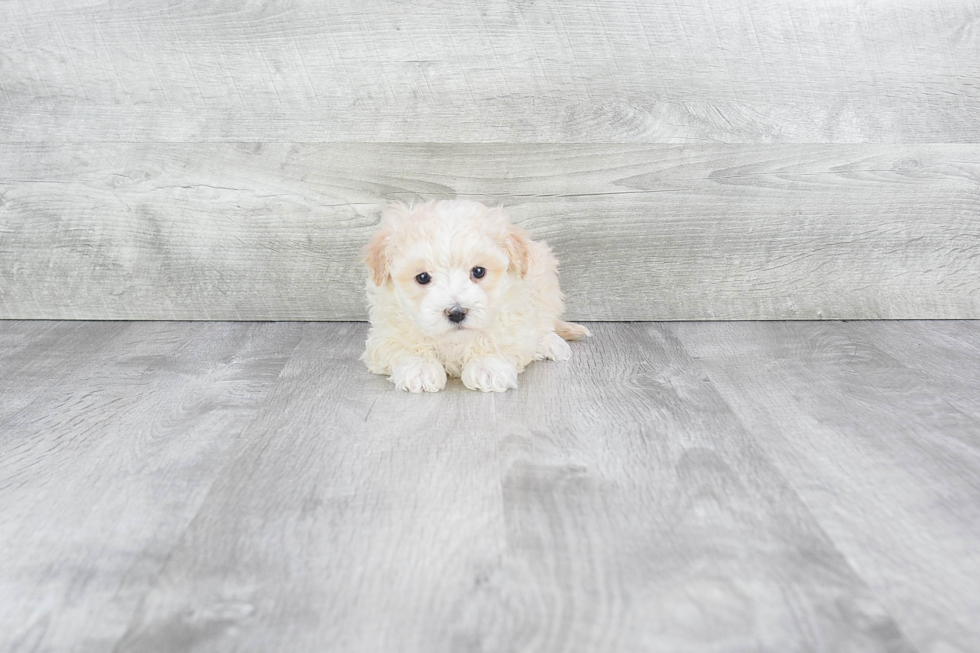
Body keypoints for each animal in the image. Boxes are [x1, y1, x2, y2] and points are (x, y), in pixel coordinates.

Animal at [360, 199, 588, 392]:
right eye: (423, 277)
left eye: (478, 271)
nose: (456, 312)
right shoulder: (386, 331)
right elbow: (401, 344)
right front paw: (420, 368)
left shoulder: (513, 312)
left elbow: (499, 339)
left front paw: (488, 366)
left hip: (544, 281)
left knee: (544, 322)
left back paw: (550, 343)